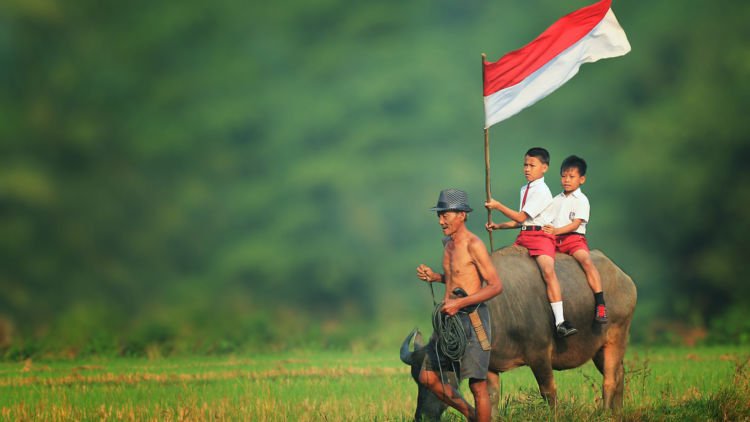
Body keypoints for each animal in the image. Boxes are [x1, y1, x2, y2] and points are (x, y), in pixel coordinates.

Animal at [402, 246, 636, 420]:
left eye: (441, 379)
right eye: (416, 381)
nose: (421, 417)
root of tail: (625, 279)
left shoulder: (540, 355)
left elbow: (548, 391)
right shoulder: (491, 364)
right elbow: (491, 398)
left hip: (617, 336)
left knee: (610, 379)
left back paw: (605, 413)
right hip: (599, 349)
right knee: (620, 373)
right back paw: (618, 413)